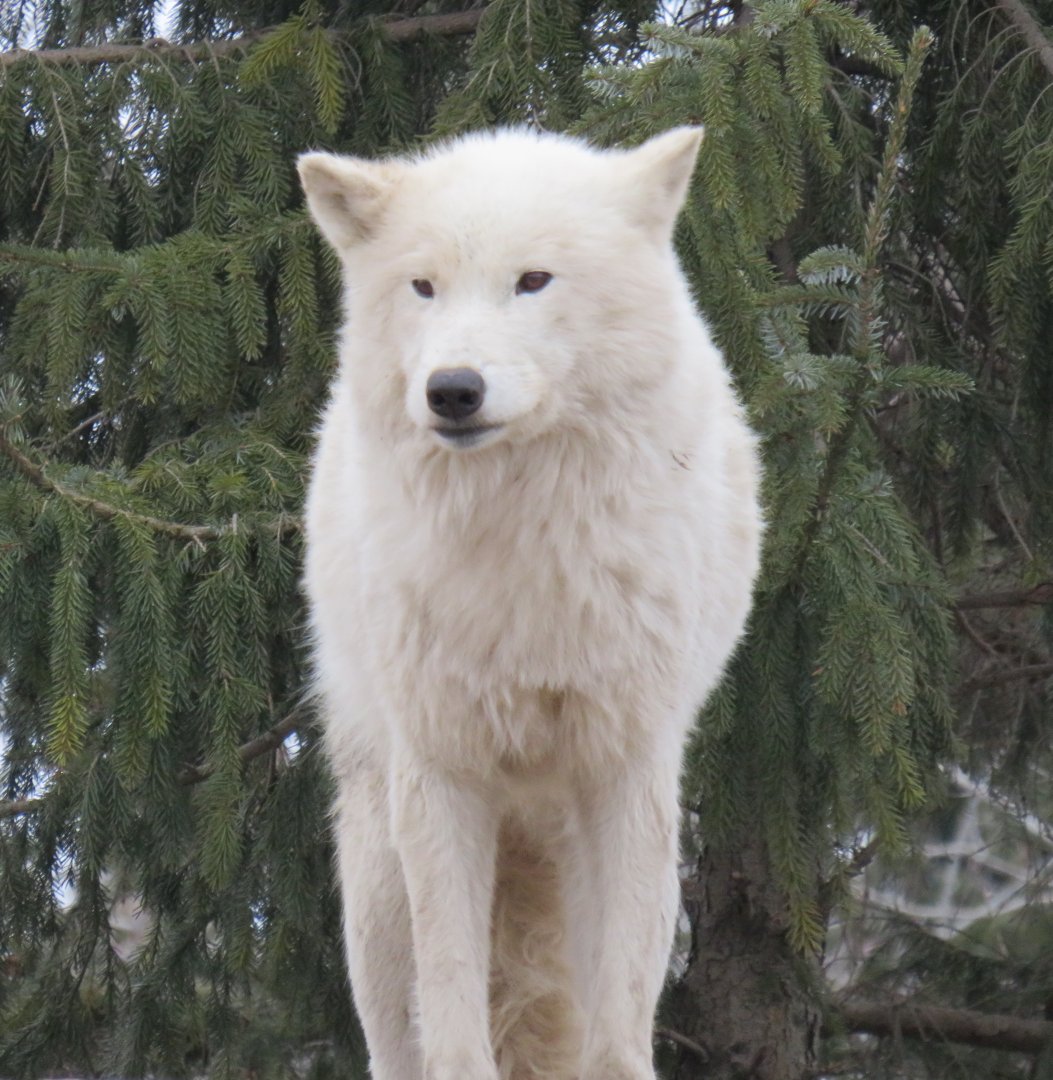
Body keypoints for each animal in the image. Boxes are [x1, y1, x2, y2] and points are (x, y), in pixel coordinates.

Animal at [298, 127, 763, 1080]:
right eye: (424, 286)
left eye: (533, 280)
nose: (453, 389)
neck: (521, 554)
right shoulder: (442, 772)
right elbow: (452, 1015)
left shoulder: (627, 765)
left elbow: (619, 1028)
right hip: (376, 880)